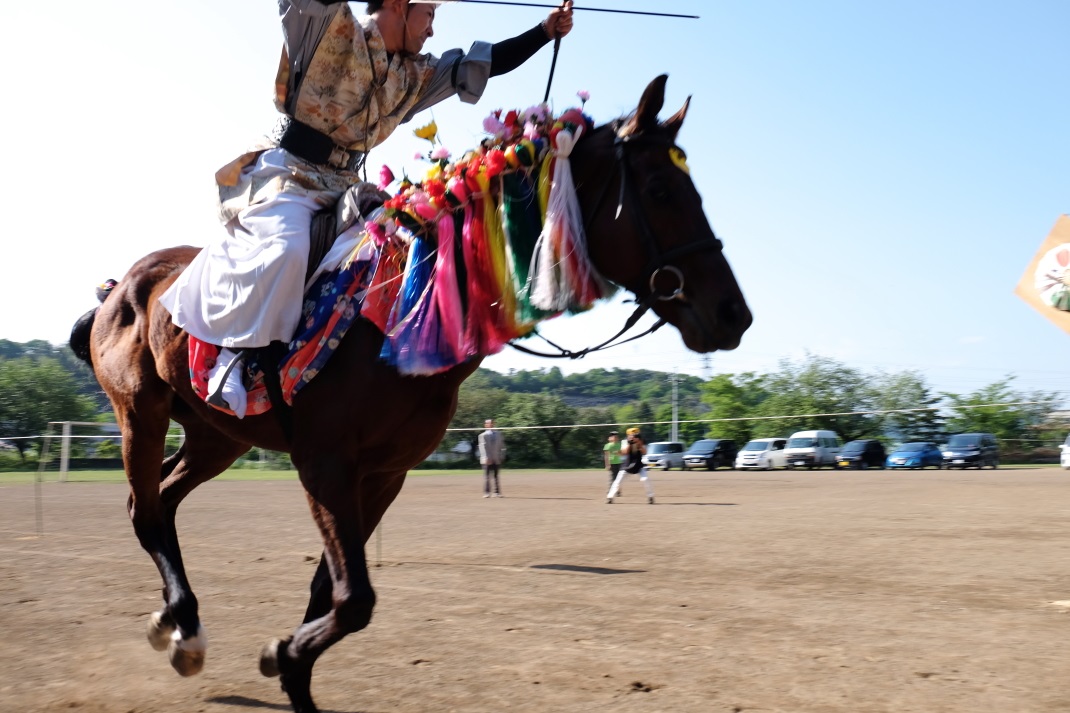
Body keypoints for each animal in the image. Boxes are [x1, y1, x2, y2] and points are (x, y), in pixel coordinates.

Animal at [69, 76, 753, 710]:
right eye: (661, 190)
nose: (733, 315)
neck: (399, 314)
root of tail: (120, 287)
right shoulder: (324, 464)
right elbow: (355, 598)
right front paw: (284, 656)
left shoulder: (383, 475)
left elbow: (332, 592)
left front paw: (291, 667)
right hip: (140, 412)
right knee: (146, 508)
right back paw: (184, 628)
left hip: (217, 435)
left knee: (158, 499)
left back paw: (175, 620)